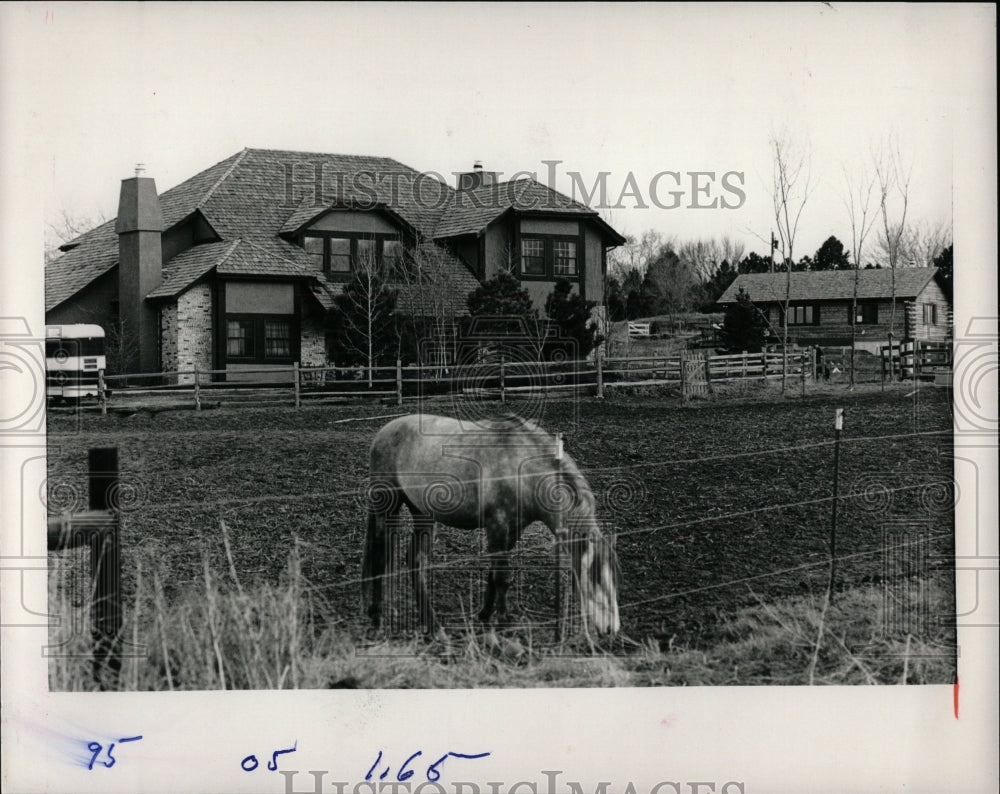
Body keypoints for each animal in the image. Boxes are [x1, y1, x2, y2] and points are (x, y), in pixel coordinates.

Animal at [364, 412, 620, 636]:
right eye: (593, 575)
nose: (611, 628)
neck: (521, 469)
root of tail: (384, 432)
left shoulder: (512, 530)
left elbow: (494, 573)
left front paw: (485, 615)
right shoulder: (497, 526)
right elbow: (502, 577)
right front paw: (503, 624)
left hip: (422, 514)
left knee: (415, 560)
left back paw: (433, 627)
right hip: (386, 507)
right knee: (380, 557)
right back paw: (378, 619)